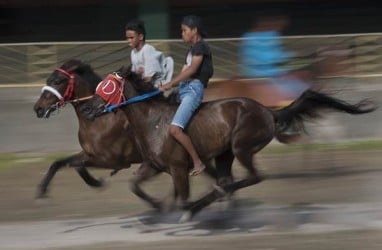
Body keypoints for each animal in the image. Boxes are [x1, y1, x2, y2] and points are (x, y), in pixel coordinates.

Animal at [80, 67, 376, 221]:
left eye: (106, 87)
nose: (88, 109)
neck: (153, 121)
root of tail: (268, 111)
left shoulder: (177, 167)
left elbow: (184, 198)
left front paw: (183, 208)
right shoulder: (153, 165)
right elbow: (135, 185)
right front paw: (160, 206)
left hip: (242, 147)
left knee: (253, 176)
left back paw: (219, 197)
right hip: (225, 154)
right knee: (227, 179)